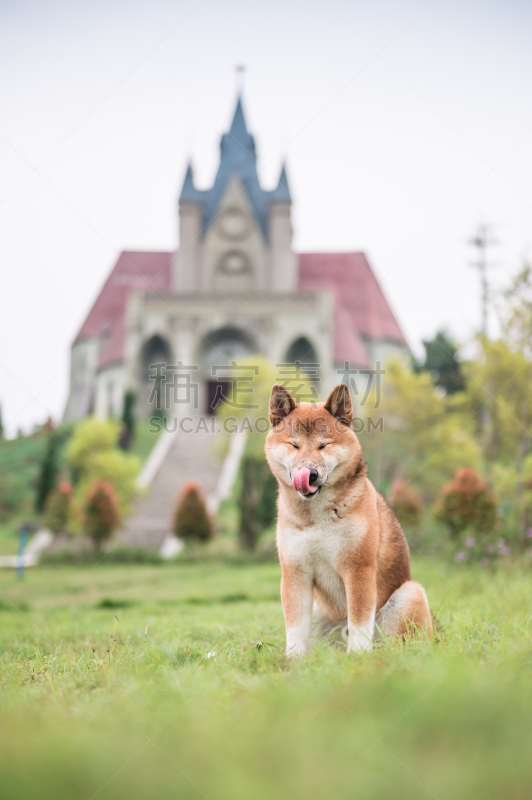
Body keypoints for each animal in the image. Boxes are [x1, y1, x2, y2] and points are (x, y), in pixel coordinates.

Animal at [264, 382, 434, 656]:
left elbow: (359, 621)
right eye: (294, 445)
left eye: (324, 445)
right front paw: (293, 659)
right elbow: (294, 628)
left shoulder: (358, 569)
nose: (309, 474)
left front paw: (358, 656)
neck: (317, 517)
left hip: (407, 594)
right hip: (319, 611)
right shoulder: (295, 573)